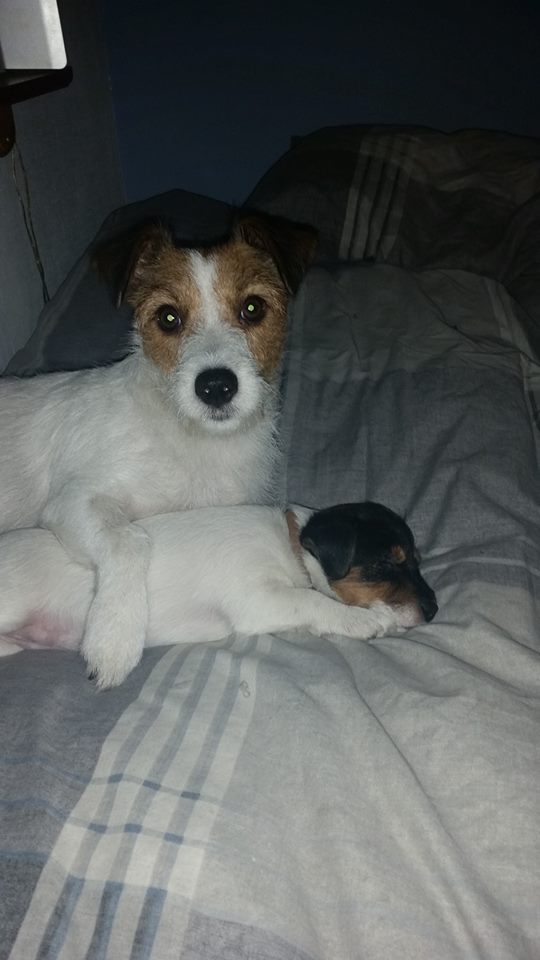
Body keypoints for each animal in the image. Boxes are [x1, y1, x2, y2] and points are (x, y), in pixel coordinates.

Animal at [0, 213, 316, 688]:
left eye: (253, 308)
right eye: (168, 317)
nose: (216, 387)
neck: (192, 438)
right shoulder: (74, 501)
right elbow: (130, 539)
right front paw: (113, 638)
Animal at [0, 502, 434, 676]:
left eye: (416, 558)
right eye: (386, 564)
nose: (433, 610)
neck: (291, 543)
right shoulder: (257, 599)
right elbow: (313, 601)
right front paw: (368, 619)